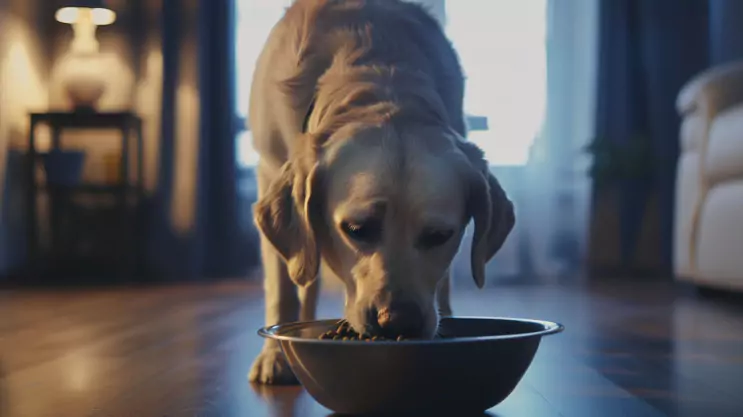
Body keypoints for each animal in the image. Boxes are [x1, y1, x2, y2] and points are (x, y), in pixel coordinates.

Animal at [247, 0, 516, 384]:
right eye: (356, 229)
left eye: (440, 235)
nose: (397, 322)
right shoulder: (269, 168)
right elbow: (283, 286)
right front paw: (274, 356)